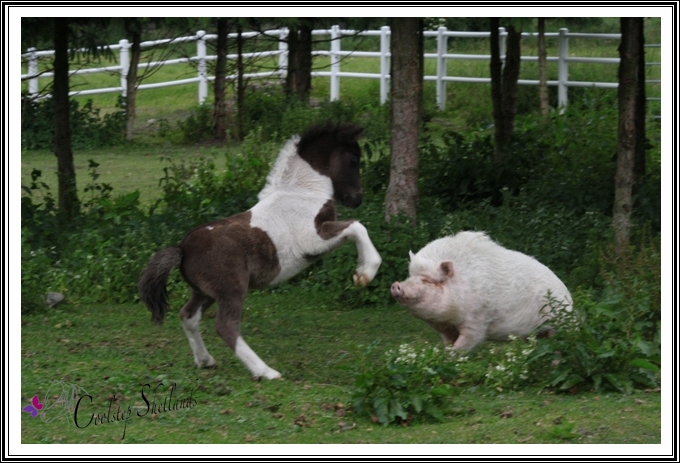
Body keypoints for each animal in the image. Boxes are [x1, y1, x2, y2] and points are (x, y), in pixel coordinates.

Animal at [138, 122, 382, 380]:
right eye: (353, 159)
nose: (357, 198)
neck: (302, 193)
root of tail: (182, 249)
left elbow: (356, 227)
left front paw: (362, 273)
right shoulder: (312, 240)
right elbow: (357, 226)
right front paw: (365, 273)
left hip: (205, 292)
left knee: (188, 315)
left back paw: (206, 360)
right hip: (231, 289)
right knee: (225, 326)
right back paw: (266, 371)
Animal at [390, 234, 572, 350]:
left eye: (427, 281)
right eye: (410, 276)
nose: (396, 285)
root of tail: (568, 295)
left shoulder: (477, 321)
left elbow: (461, 347)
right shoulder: (446, 331)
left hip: (562, 324)